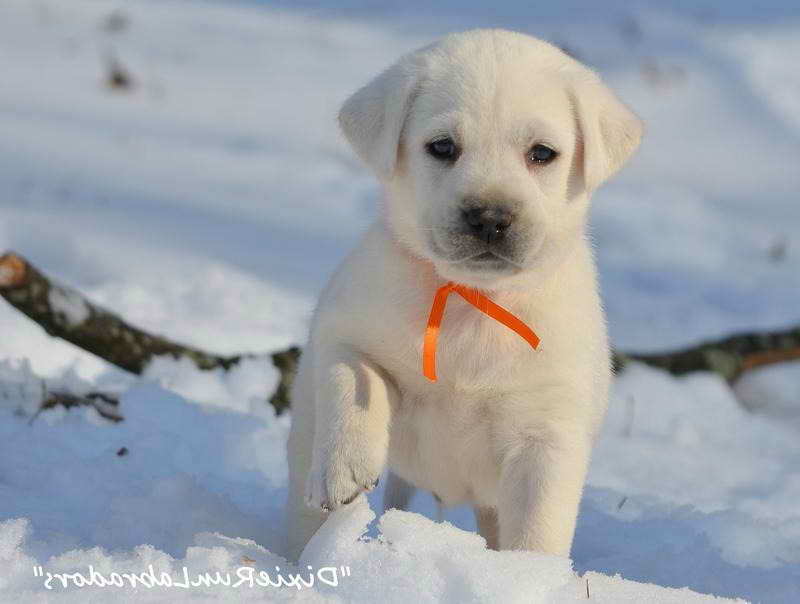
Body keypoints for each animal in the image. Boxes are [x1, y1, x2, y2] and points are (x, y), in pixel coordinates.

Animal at [284, 28, 640, 560]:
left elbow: (537, 529)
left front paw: (528, 574)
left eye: (542, 153)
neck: (473, 301)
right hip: (305, 434)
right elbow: (354, 378)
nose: (490, 218)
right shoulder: (345, 327)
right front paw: (345, 467)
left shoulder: (546, 435)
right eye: (442, 147)